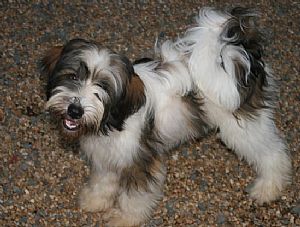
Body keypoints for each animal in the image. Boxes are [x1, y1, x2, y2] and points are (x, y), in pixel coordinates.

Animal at [41, 7, 290, 227]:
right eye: (73, 76)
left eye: (102, 87)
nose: (75, 110)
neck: (112, 119)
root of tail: (239, 52)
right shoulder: (107, 155)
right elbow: (103, 180)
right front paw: (95, 200)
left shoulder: (142, 160)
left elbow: (135, 196)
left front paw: (125, 218)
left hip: (243, 126)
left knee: (272, 153)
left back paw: (268, 188)